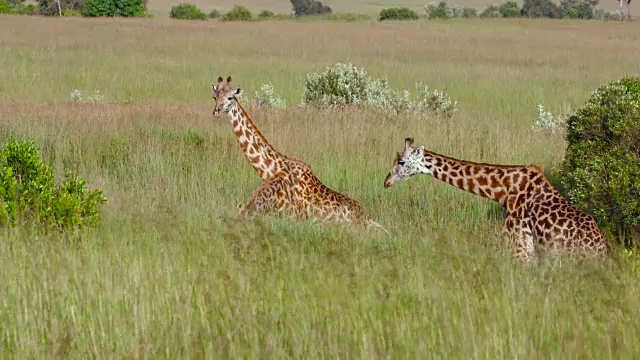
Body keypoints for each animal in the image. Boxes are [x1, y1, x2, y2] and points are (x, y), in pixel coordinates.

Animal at [212, 74, 388, 235]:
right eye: (214, 96)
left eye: (230, 97)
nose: (216, 111)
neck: (275, 167)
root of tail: (363, 216)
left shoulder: (292, 216)